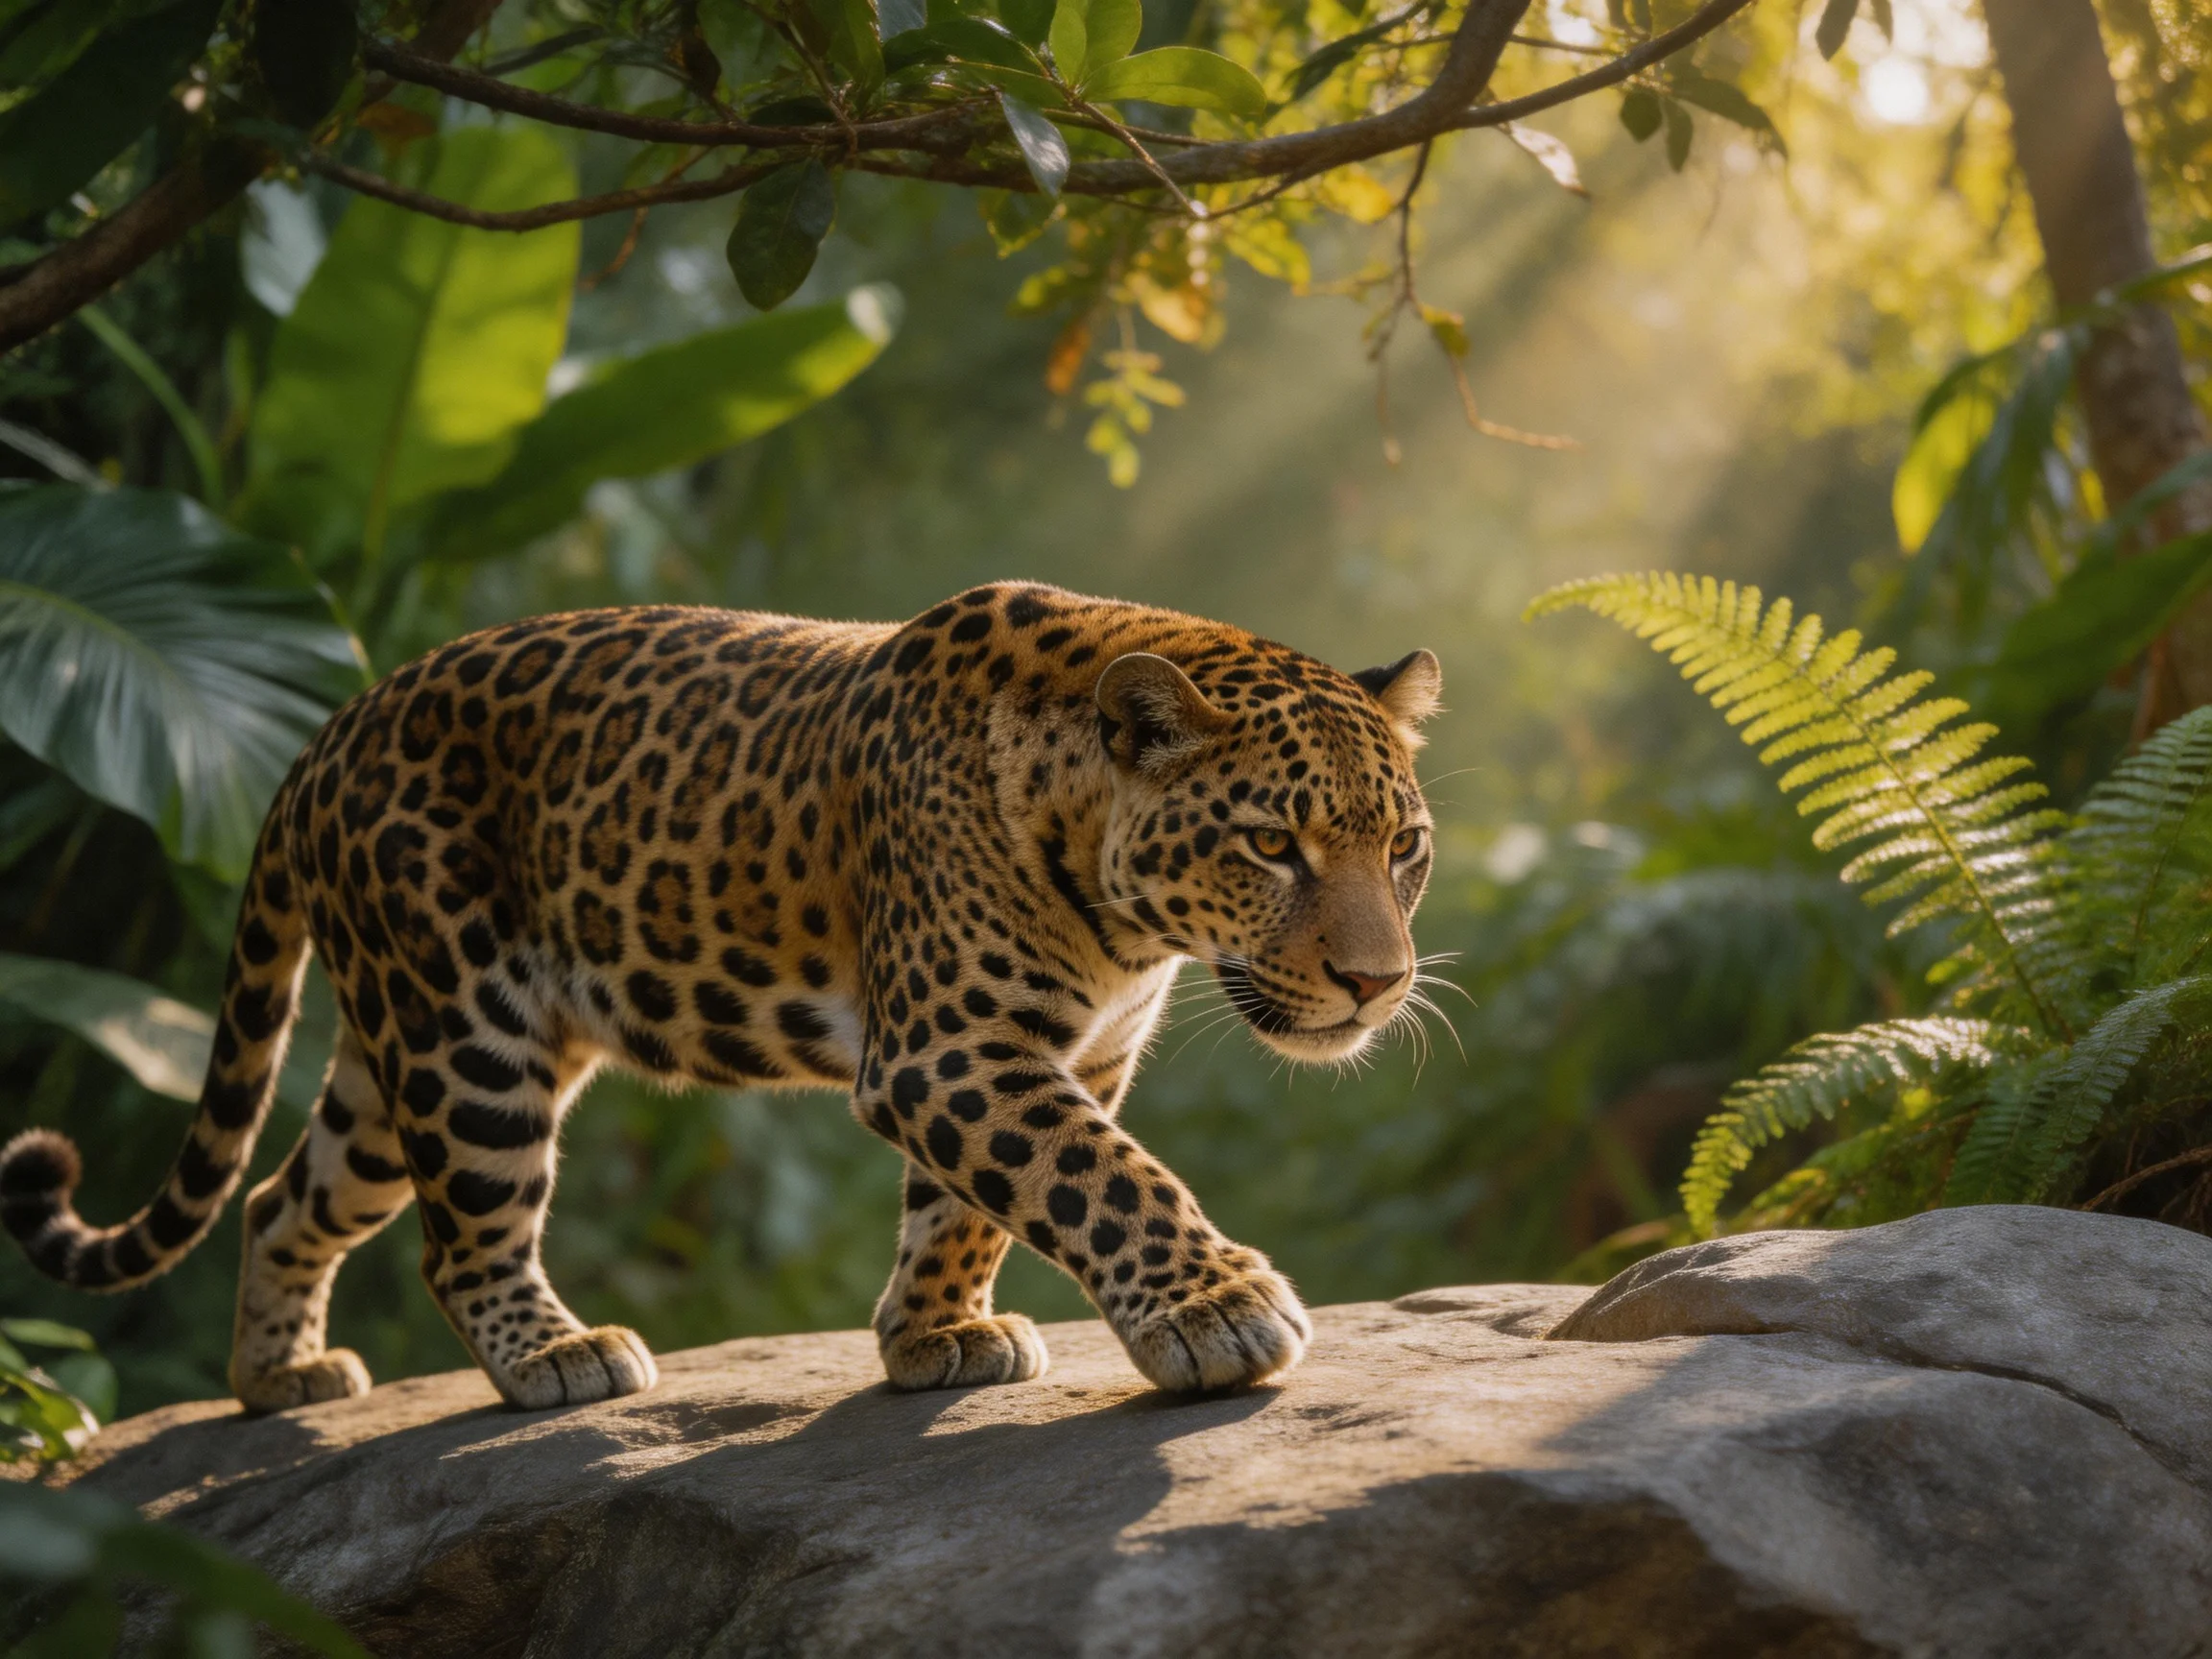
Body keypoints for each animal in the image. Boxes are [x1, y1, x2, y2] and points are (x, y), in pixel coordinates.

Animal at [0, 584, 1441, 1412]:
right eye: (1272, 845)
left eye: (1405, 848)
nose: (1377, 984)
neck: (1123, 920)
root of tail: (317, 738)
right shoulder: (951, 1052)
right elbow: (1100, 1177)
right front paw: (1219, 1312)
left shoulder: (1064, 1055)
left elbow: (975, 1207)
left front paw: (934, 1336)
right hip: (467, 1034)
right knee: (460, 1236)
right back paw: (555, 1360)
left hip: (388, 1043)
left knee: (282, 1194)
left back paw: (277, 1379)